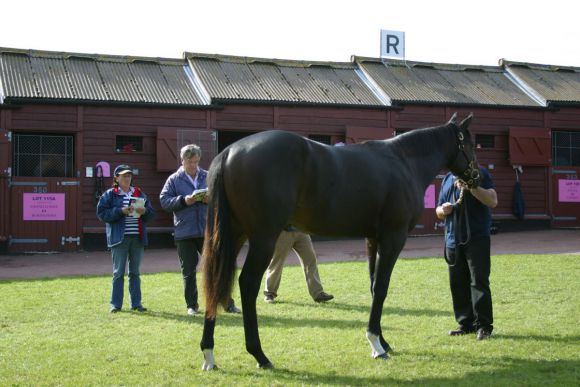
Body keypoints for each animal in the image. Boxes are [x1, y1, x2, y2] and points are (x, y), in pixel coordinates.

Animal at [199, 113, 480, 372]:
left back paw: (209, 354)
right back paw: (259, 354)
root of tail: (229, 152)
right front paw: (376, 344)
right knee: (247, 284)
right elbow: (382, 288)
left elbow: (373, 286)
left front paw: (383, 341)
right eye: (469, 144)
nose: (476, 177)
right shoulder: (393, 238)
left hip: (234, 236)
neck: (403, 162)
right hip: (263, 239)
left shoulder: (373, 239)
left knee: (215, 282)